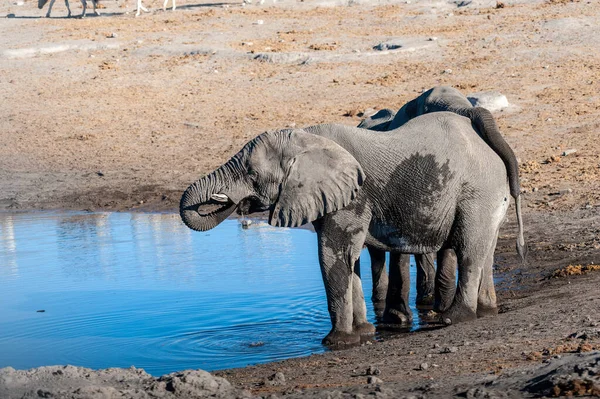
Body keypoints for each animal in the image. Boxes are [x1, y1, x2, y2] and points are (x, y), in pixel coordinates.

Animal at [180, 112, 512, 346]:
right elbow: (349, 262)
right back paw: (486, 311)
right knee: (486, 251)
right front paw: (364, 333)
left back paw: (456, 318)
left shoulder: (353, 197)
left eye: (251, 174)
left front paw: (336, 342)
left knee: (469, 250)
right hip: (488, 192)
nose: (235, 203)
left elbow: (332, 256)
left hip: (476, 191)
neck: (307, 137)